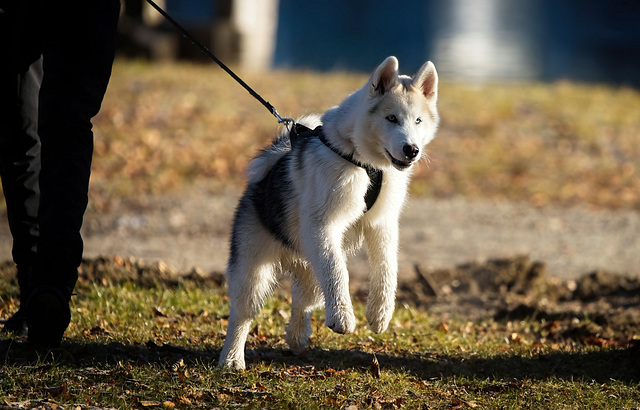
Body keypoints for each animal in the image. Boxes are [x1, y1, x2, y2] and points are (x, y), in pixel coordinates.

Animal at [218, 55, 438, 368]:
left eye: (418, 120)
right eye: (391, 118)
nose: (412, 150)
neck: (365, 163)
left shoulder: (382, 225)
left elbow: (386, 269)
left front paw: (380, 313)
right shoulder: (324, 226)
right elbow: (339, 273)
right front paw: (344, 317)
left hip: (311, 259)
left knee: (303, 298)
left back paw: (297, 336)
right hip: (253, 266)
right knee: (243, 312)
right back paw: (231, 358)